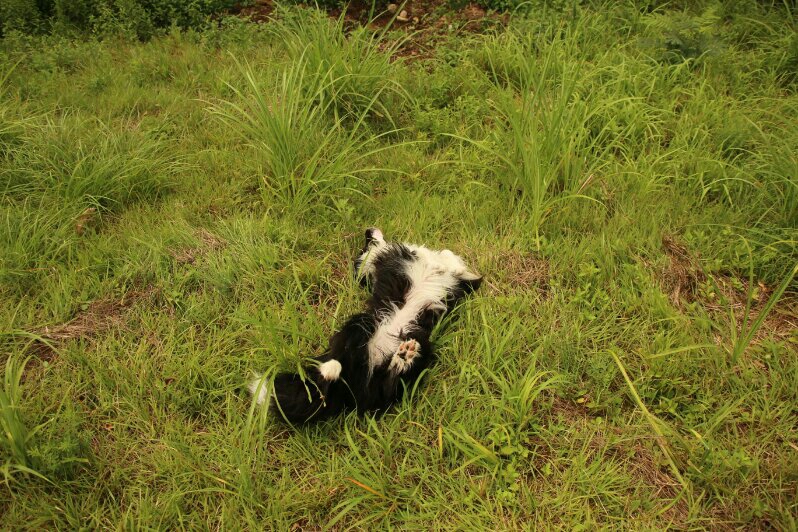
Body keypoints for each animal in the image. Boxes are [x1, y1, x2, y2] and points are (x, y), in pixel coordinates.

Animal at [248, 228, 482, 423]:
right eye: (363, 244)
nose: (368, 230)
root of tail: (350, 391)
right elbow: (437, 255)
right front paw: (443, 262)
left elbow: (446, 258)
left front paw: (447, 263)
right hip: (360, 325)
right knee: (335, 369)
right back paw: (331, 369)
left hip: (418, 344)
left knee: (386, 385)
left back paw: (404, 357)